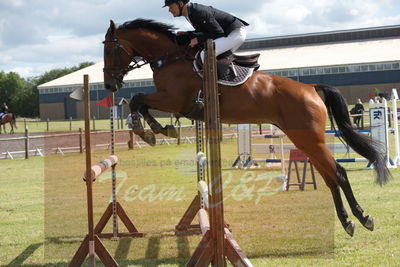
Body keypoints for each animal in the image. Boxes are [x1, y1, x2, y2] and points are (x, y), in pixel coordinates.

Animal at [101, 18, 390, 237]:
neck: (169, 57)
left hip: (311, 139)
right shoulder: (172, 102)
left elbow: (138, 99)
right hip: (304, 140)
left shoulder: (174, 99)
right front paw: (156, 129)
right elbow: (140, 102)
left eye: (110, 49)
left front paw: (147, 129)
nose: (109, 86)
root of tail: (311, 87)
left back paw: (361, 218)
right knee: (330, 177)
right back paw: (349, 220)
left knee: (338, 173)